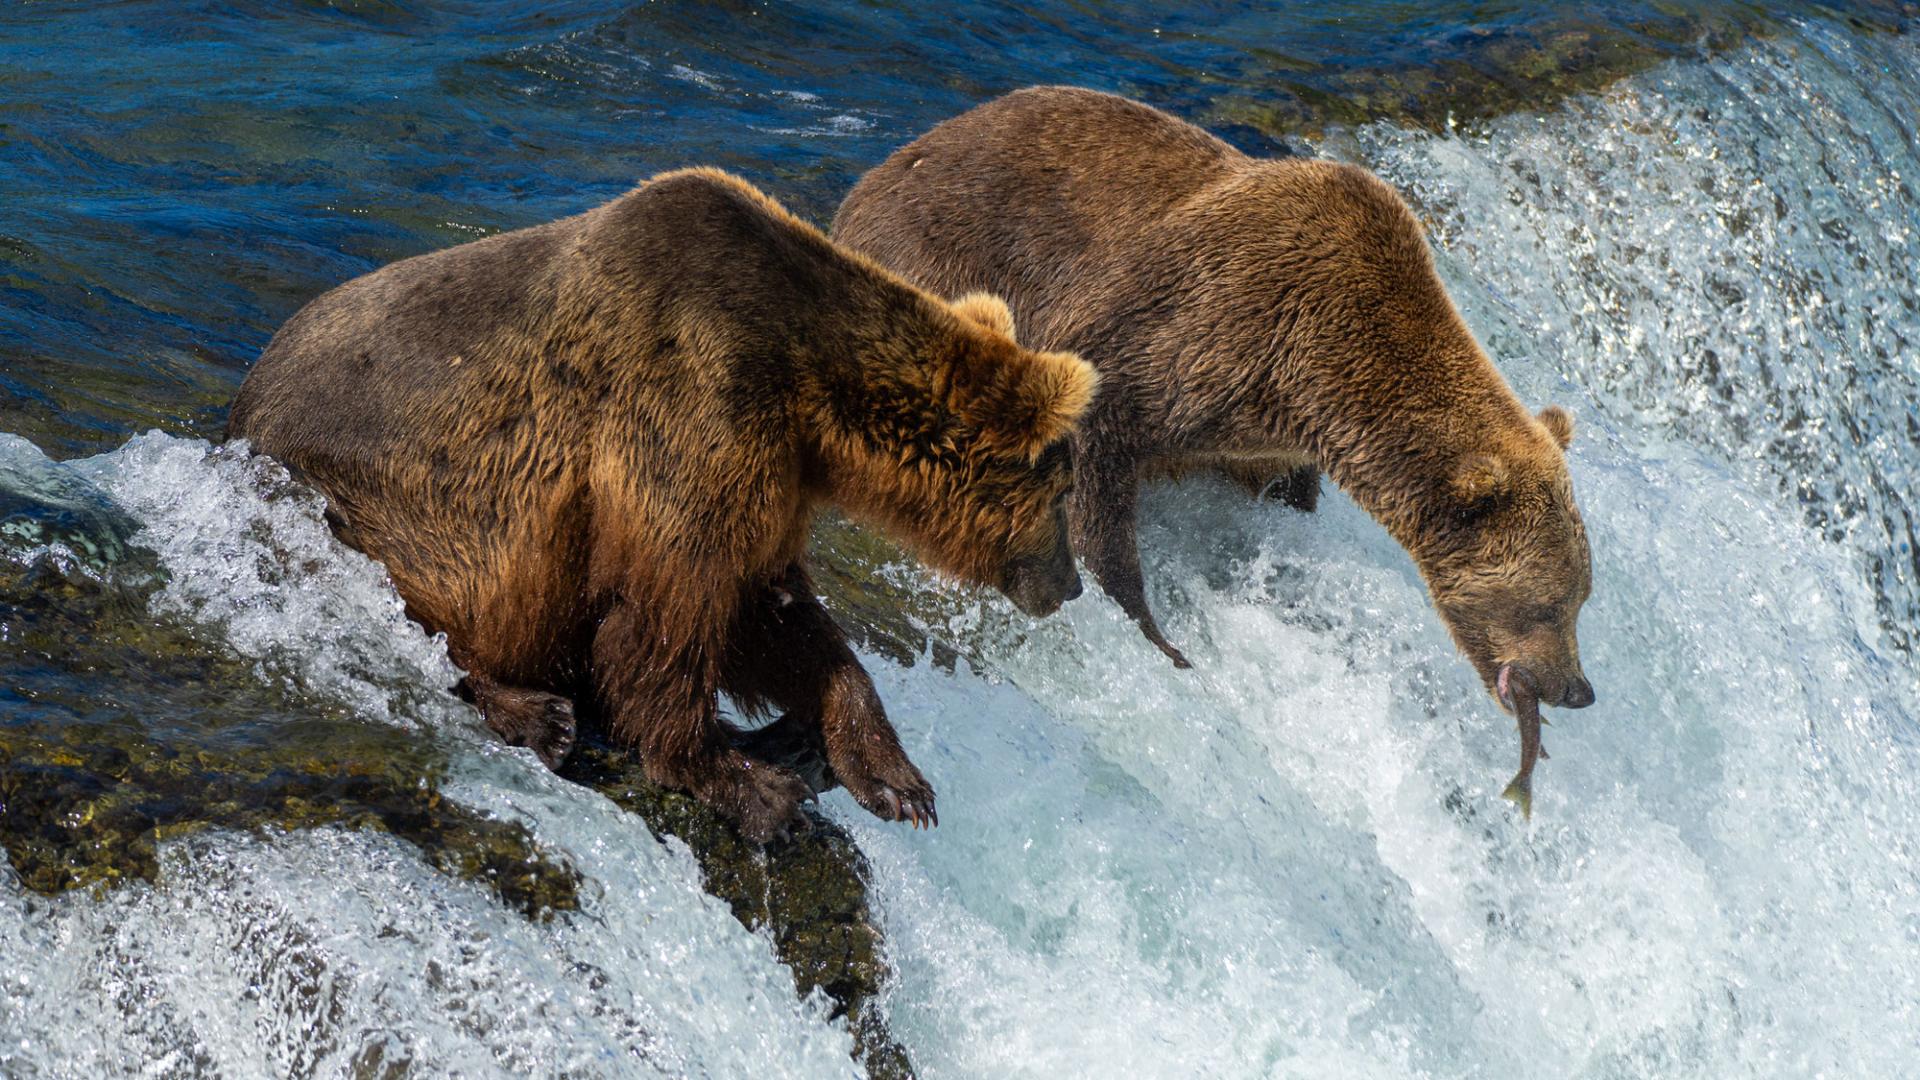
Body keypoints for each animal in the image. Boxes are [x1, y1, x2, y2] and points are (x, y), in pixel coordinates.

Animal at [224, 168, 1098, 841]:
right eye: (1062, 495)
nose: (1070, 585)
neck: (814, 391)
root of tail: (239, 407)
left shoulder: (772, 472)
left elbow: (774, 612)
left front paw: (892, 777)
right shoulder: (691, 405)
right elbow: (669, 609)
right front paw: (739, 782)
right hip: (377, 497)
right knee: (430, 600)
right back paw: (540, 714)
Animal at [833, 85, 1597, 807]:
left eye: (1582, 597)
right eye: (1551, 604)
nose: (1577, 689)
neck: (1317, 375)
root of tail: (879, 171)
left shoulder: (1258, 434)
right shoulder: (1190, 332)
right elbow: (1096, 480)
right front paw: (1153, 633)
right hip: (938, 267)